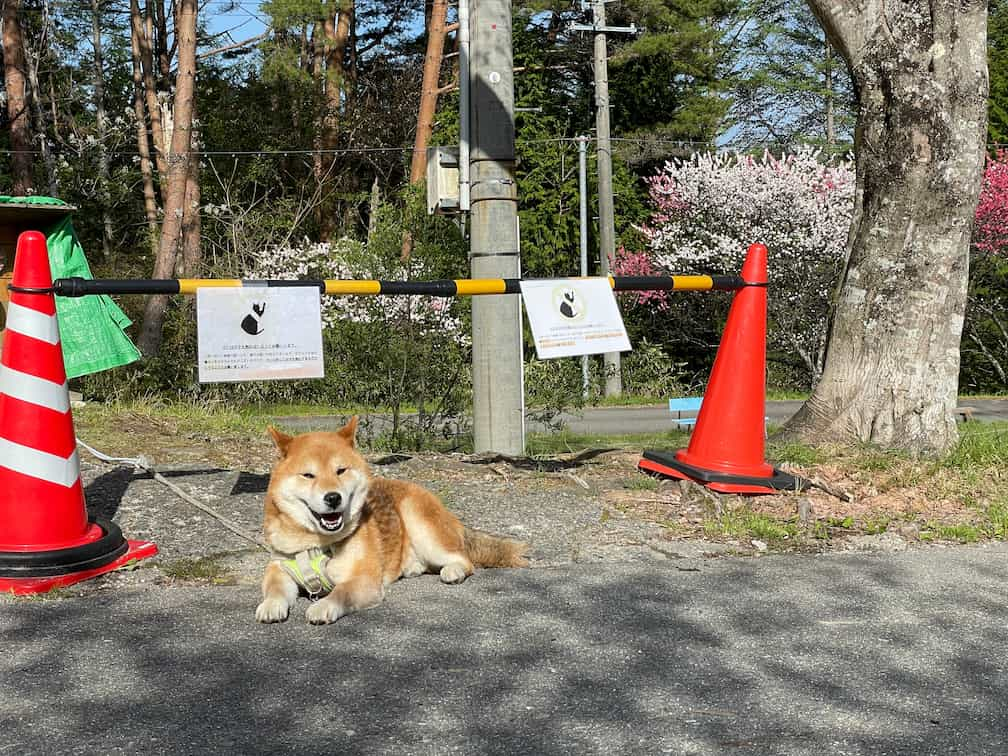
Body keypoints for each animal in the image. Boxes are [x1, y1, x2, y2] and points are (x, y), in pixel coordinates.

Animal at [256, 417, 532, 624]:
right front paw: (270, 605)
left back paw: (452, 571)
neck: (314, 543)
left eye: (340, 470)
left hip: (421, 525)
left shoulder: (364, 580)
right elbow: (274, 588)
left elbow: (340, 592)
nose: (333, 497)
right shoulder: (279, 567)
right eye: (308, 475)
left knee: (464, 560)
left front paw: (323, 605)